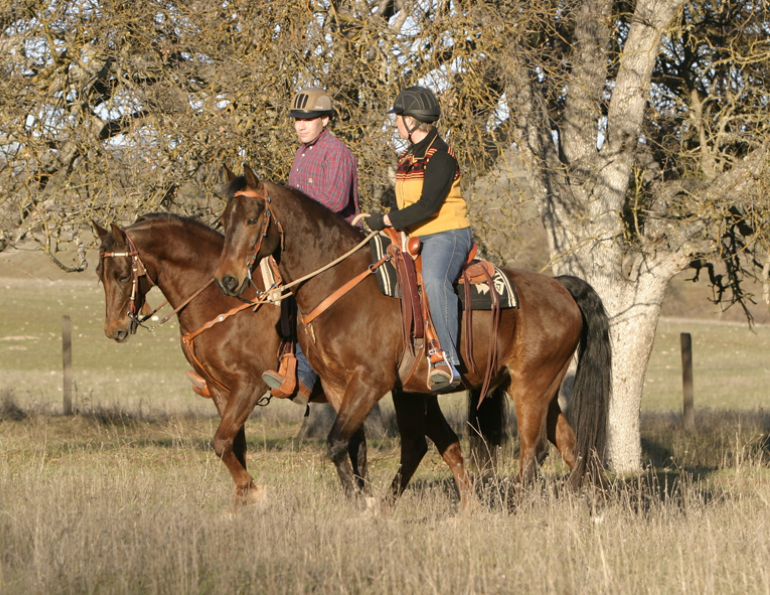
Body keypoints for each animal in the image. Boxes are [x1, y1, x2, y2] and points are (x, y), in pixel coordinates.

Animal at [93, 213, 373, 510]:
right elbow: (234, 445)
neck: (220, 303)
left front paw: (253, 490)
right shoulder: (220, 387)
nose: (114, 329)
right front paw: (242, 498)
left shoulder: (248, 386)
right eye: (100, 274)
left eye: (123, 275)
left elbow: (222, 441)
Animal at [213, 165, 612, 502]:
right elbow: (351, 446)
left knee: (534, 450)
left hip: (531, 386)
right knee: (570, 443)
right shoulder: (343, 386)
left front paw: (362, 502)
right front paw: (363, 502)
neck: (342, 283)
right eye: (223, 219)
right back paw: (585, 500)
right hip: (540, 389)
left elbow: (339, 442)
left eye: (252, 218)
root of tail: (560, 287)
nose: (227, 279)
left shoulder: (371, 382)